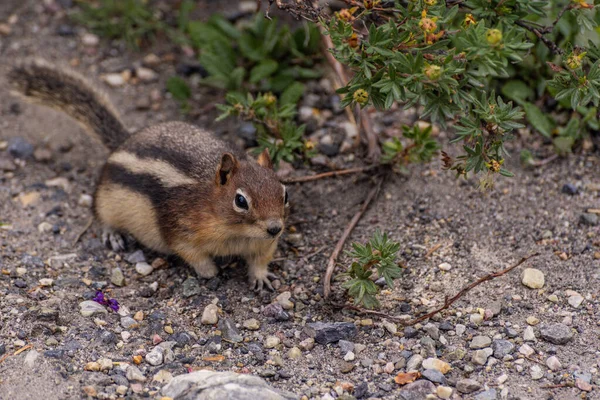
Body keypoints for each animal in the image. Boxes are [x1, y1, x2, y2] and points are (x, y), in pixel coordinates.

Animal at [8, 59, 290, 290]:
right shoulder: (181, 230)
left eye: (284, 194)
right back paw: (113, 234)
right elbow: (193, 255)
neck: (236, 232)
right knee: (100, 215)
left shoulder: (263, 243)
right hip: (107, 199)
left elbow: (261, 259)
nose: (275, 228)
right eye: (241, 201)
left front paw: (261, 276)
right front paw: (211, 271)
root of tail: (125, 141)